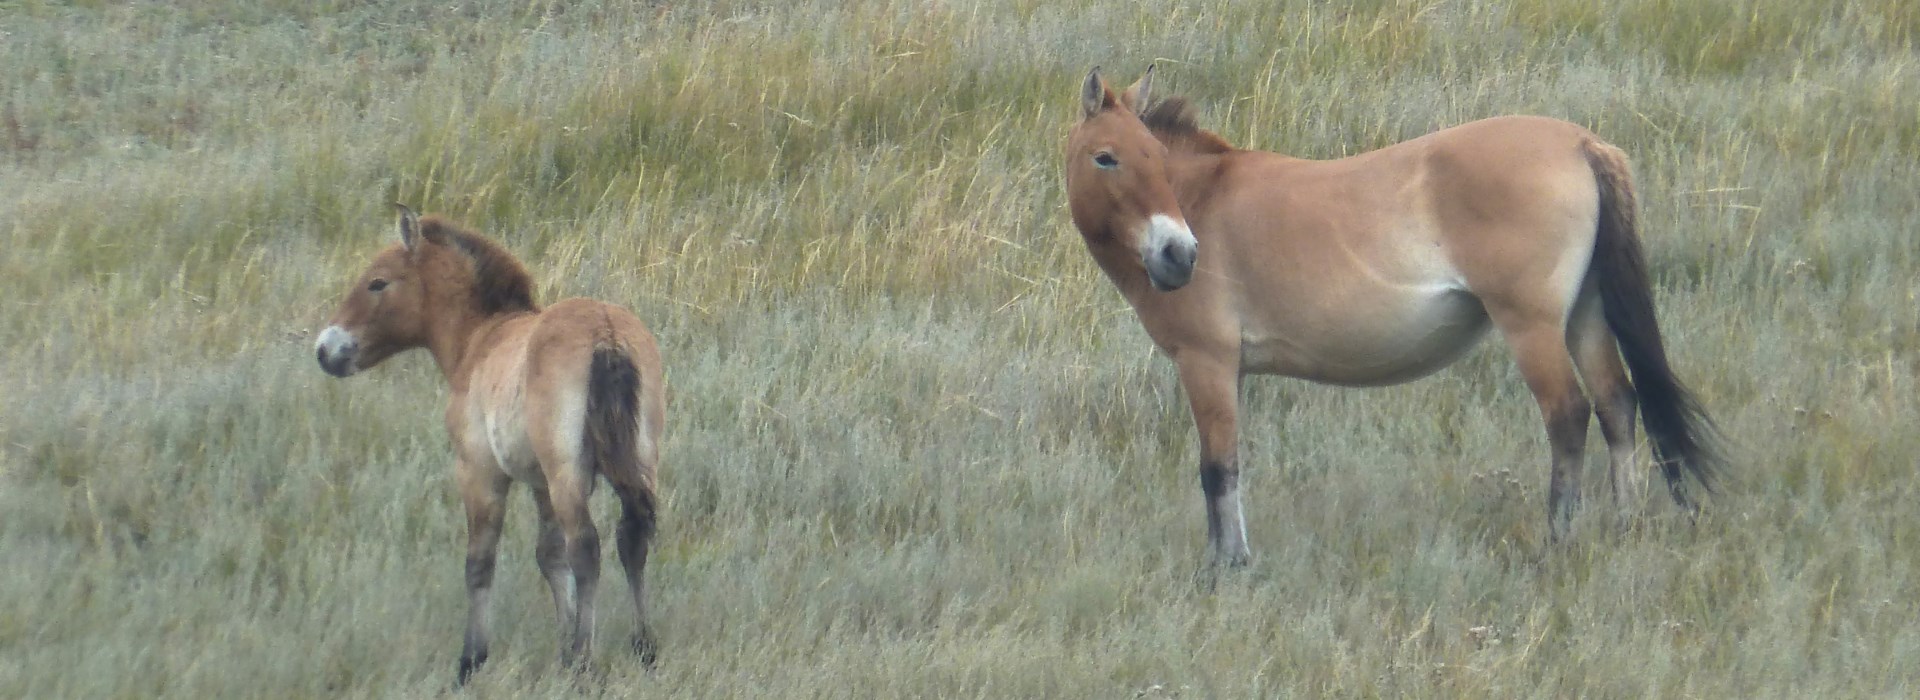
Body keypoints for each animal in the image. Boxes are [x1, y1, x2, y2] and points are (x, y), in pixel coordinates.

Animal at [316, 206, 668, 682]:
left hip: (568, 471)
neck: (481, 339)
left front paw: (472, 659)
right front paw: (561, 645)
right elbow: (549, 557)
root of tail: (606, 334)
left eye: (377, 282)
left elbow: (480, 563)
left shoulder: (479, 473)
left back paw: (584, 660)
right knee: (632, 539)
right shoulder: (539, 482)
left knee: (587, 547)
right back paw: (642, 647)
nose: (325, 349)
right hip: (639, 458)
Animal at [1067, 68, 1728, 563]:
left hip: (1533, 327)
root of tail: (1580, 143)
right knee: (1618, 405)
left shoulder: (1207, 364)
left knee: (1568, 415)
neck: (1202, 198)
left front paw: (1226, 568)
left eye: (1156, 157)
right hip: (1585, 317)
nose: (1178, 255)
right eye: (1107, 158)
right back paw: (1624, 526)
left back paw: (1557, 539)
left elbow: (1218, 469)